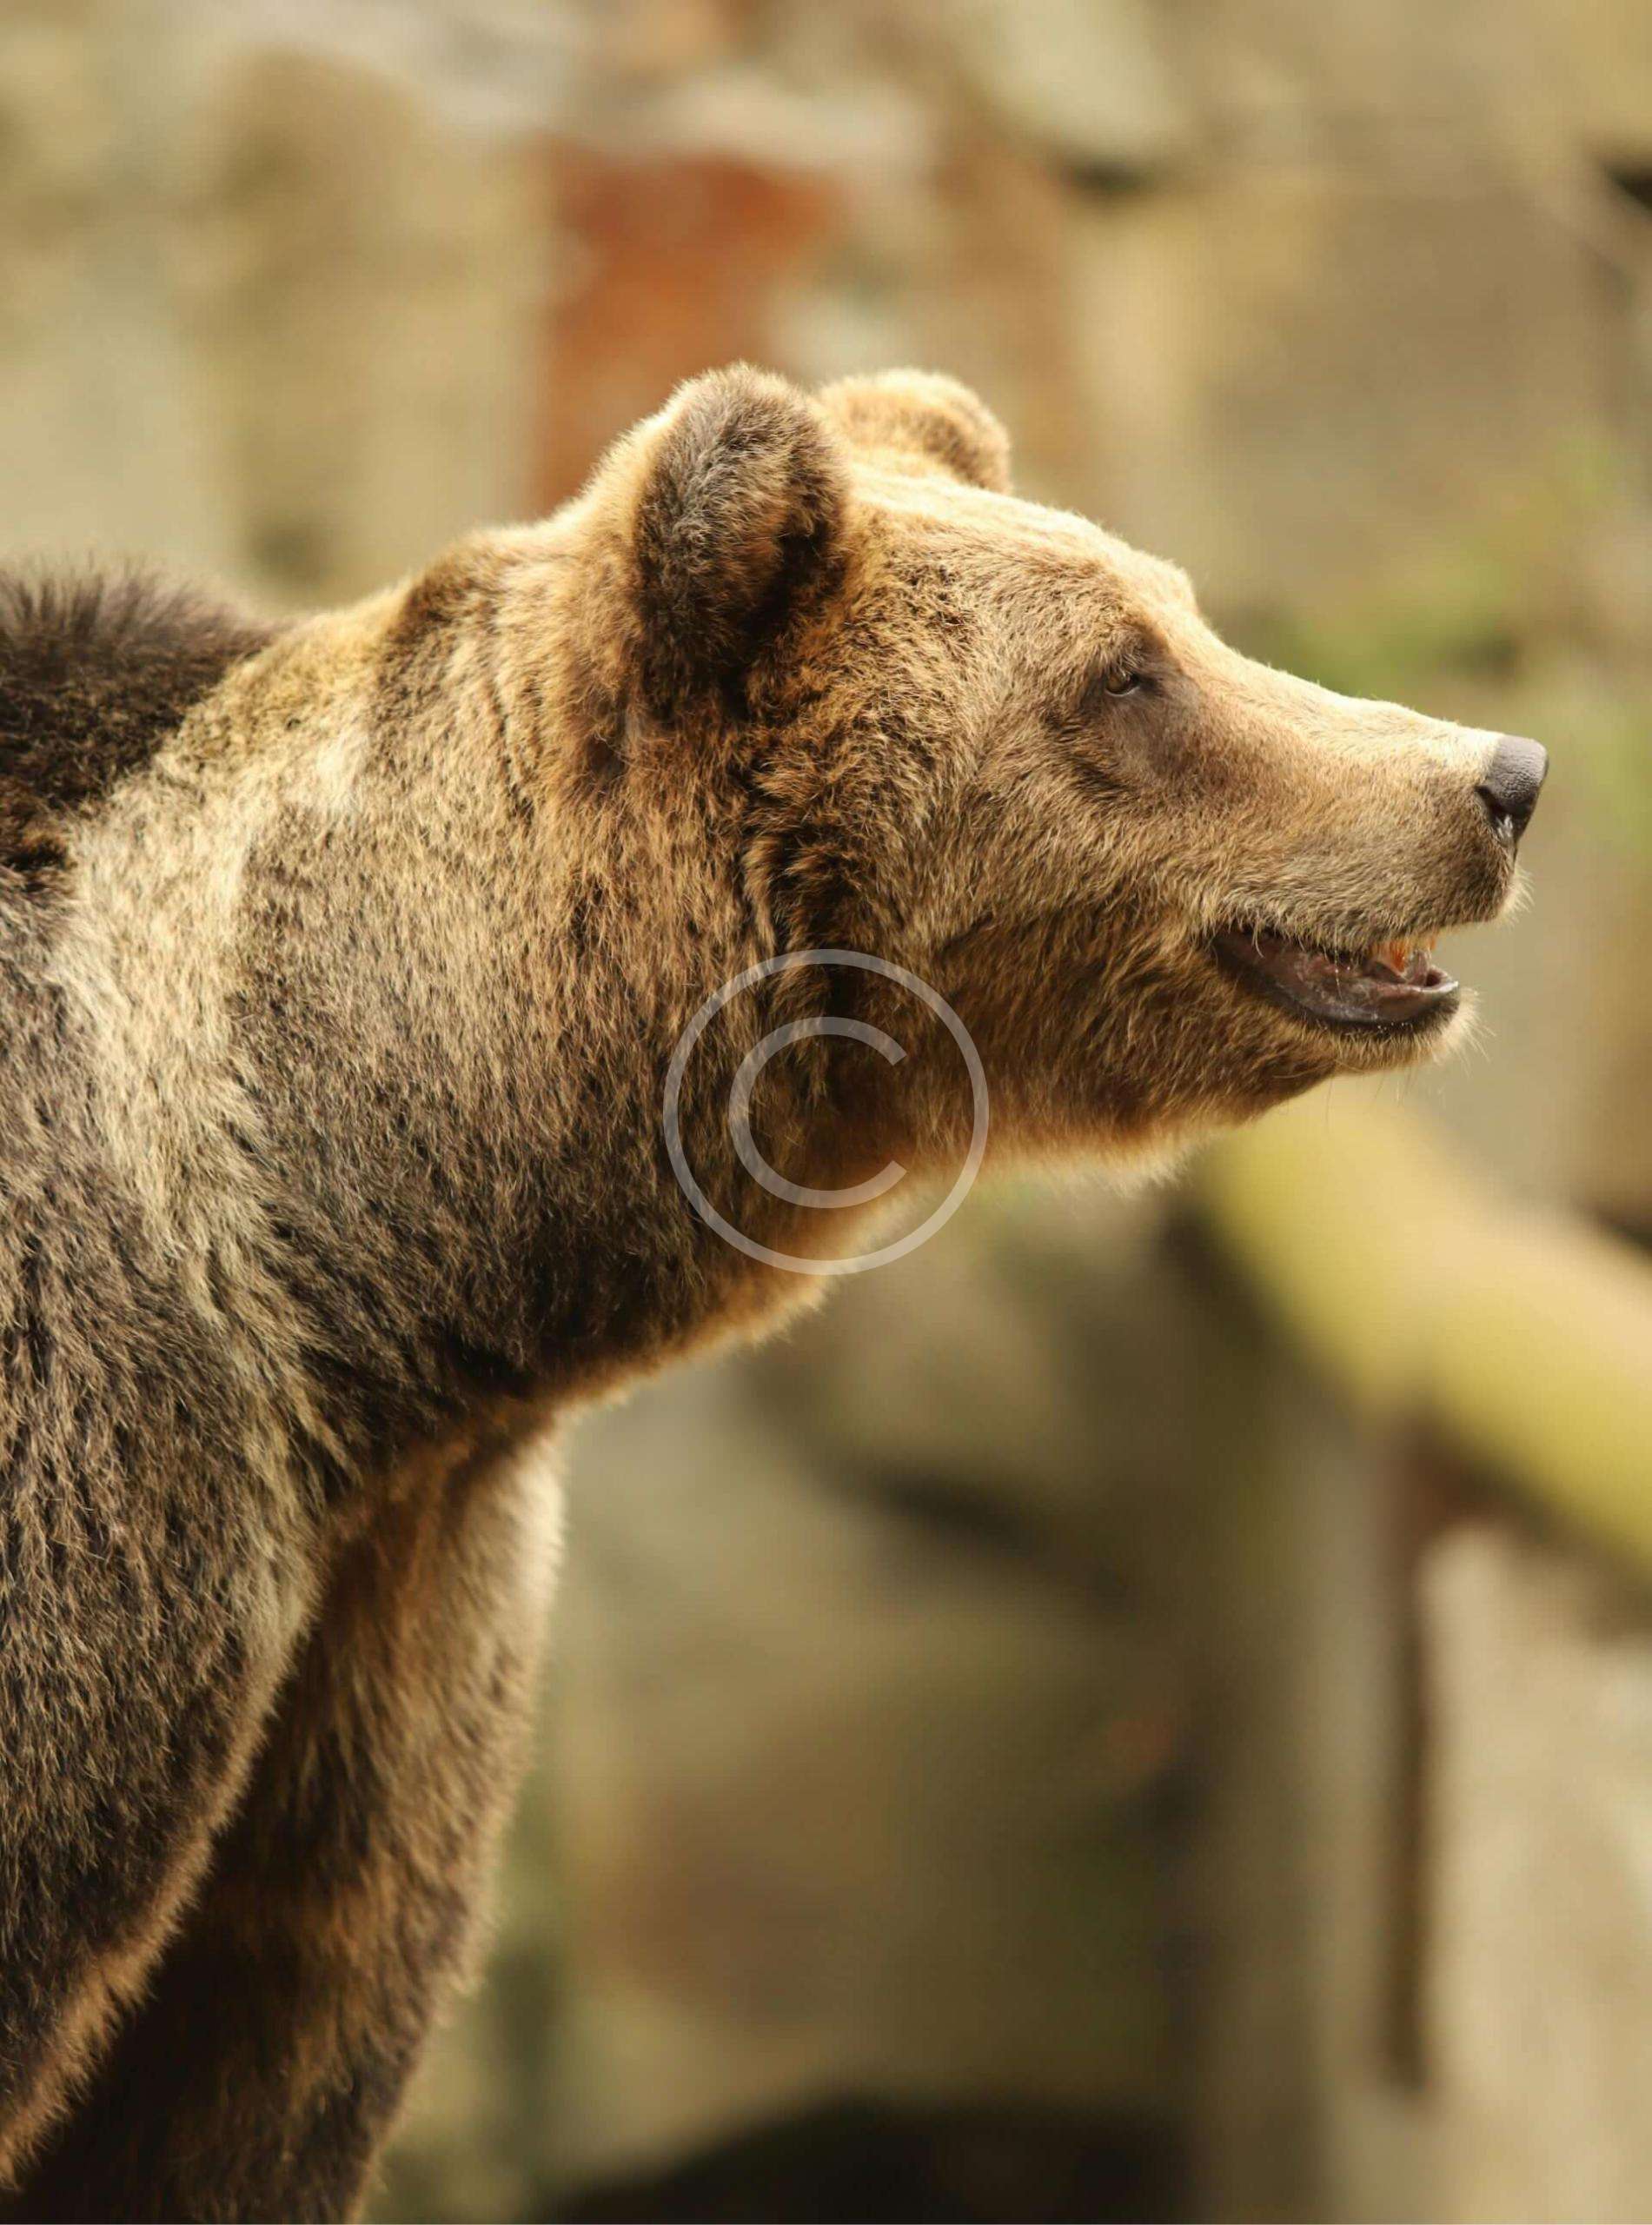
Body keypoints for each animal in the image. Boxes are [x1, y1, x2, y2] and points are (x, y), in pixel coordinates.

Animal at [0, 366, 1544, 2220]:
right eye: (1128, 672)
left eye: (1176, 613)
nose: (1500, 778)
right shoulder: (104, 1480)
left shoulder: (378, 1650)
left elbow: (246, 2079)